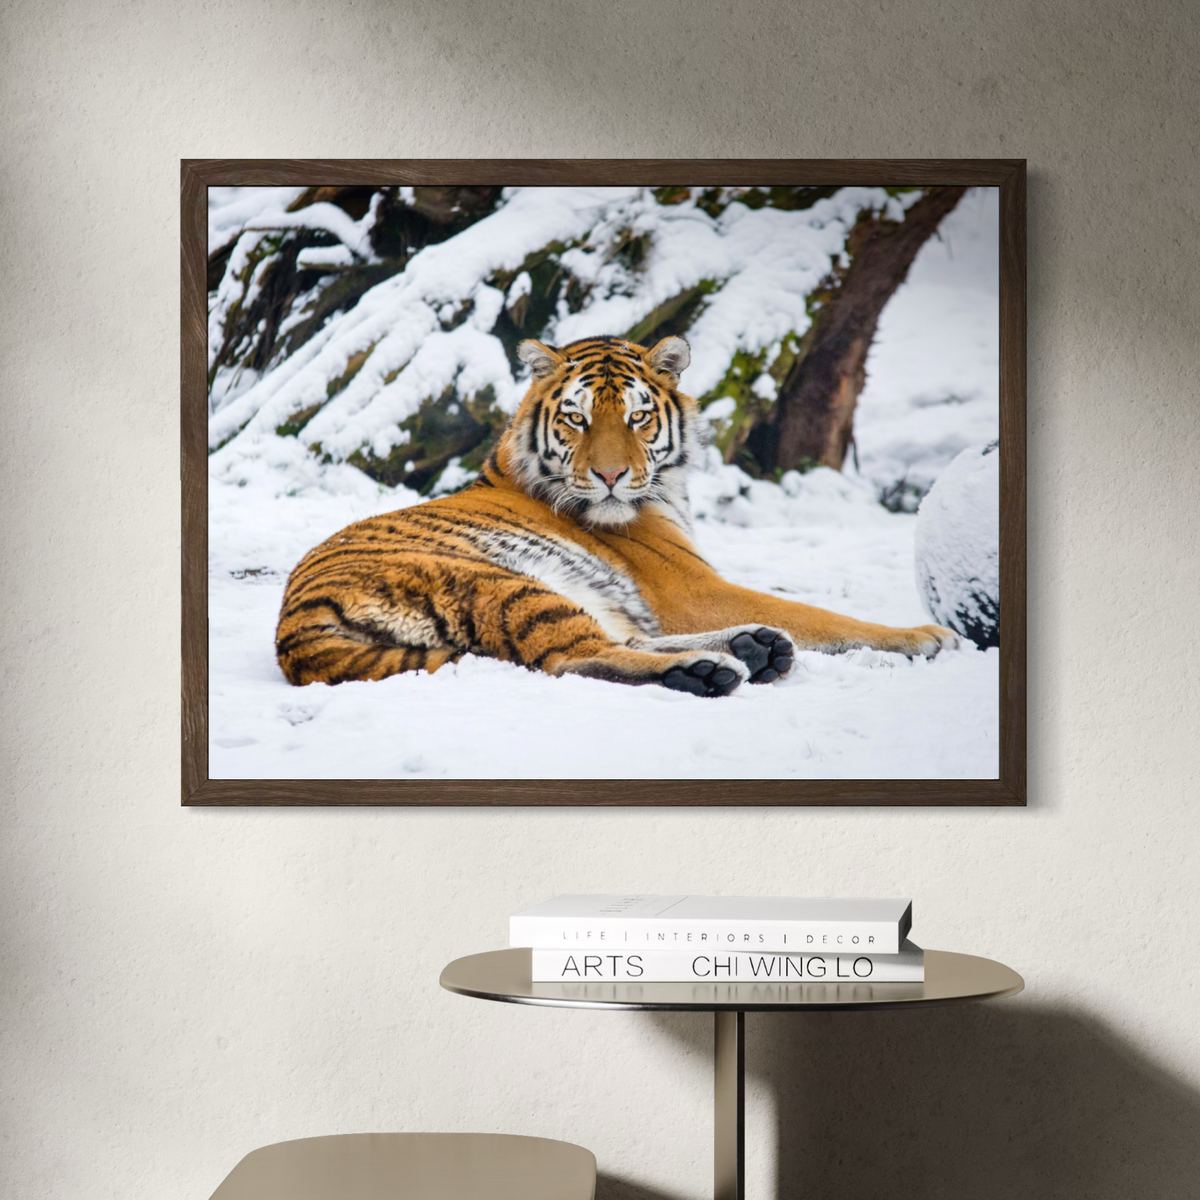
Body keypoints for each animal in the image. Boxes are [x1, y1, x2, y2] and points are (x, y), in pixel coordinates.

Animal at [275, 335, 958, 697]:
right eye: (576, 418)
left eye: (637, 417)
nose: (609, 476)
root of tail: (296, 636)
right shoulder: (694, 588)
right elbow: (824, 615)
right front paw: (926, 636)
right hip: (501, 583)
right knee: (570, 658)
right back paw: (709, 667)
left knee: (615, 637)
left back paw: (754, 648)